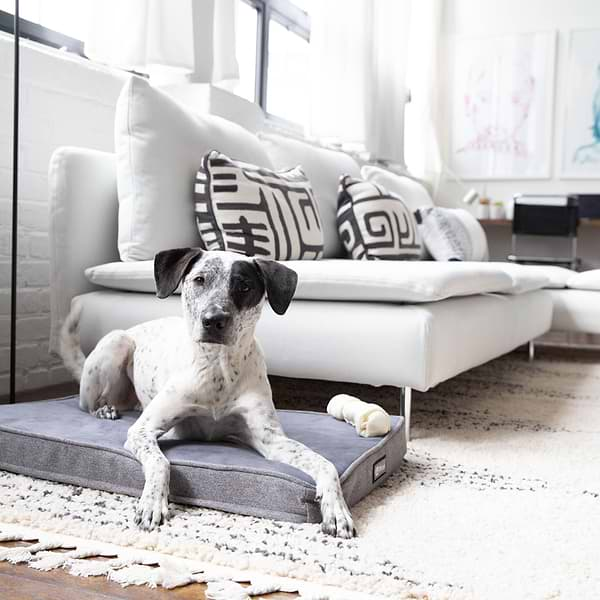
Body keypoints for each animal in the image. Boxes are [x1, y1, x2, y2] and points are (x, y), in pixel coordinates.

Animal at [59, 248, 356, 540]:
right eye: (199, 280)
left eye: (244, 286)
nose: (213, 320)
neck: (219, 368)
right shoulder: (143, 430)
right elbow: (160, 462)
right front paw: (152, 502)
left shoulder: (271, 440)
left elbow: (325, 463)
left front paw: (337, 510)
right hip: (116, 342)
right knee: (87, 403)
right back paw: (104, 409)